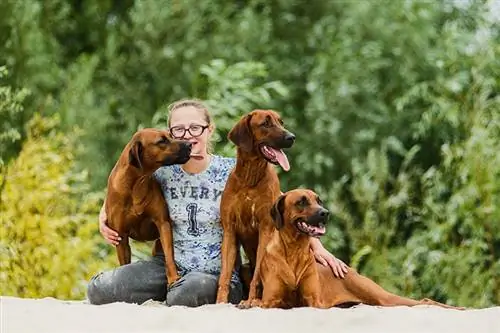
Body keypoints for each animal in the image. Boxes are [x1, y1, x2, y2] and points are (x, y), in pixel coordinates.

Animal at [105, 127, 191, 286]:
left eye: (171, 135)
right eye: (162, 141)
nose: (190, 145)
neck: (136, 184)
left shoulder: (163, 223)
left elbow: (169, 256)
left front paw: (173, 278)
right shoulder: (120, 237)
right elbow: (124, 264)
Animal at [217, 109, 294, 306]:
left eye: (281, 122)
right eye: (265, 123)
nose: (292, 137)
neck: (250, 179)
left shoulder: (265, 229)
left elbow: (258, 276)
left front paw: (251, 300)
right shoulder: (229, 231)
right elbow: (224, 276)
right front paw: (220, 302)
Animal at [252, 188, 466, 310]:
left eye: (319, 201)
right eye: (301, 201)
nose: (325, 213)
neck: (294, 250)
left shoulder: (314, 301)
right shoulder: (271, 299)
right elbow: (268, 302)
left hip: (382, 297)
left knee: (424, 301)